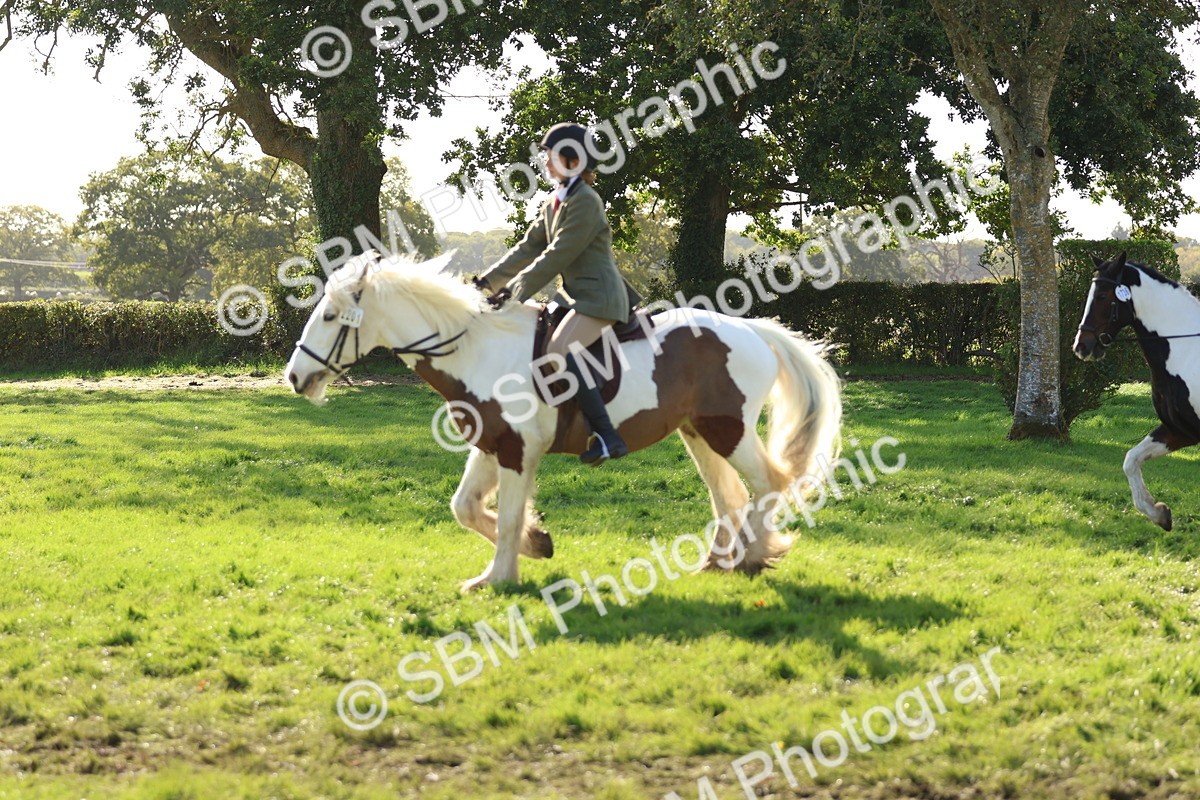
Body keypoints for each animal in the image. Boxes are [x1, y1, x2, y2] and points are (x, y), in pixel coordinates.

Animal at [284, 251, 843, 591]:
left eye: (330, 316)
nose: (294, 377)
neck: (476, 350)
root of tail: (752, 330)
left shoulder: (516, 450)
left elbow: (507, 515)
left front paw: (499, 577)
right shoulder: (491, 445)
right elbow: (465, 508)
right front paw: (536, 545)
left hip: (729, 431)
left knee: (766, 485)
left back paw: (754, 556)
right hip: (700, 433)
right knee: (729, 494)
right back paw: (722, 560)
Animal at [1072, 251, 1200, 531]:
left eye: (1102, 296)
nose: (1081, 346)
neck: (1186, 351)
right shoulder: (1179, 430)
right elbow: (1131, 460)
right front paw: (1159, 513)